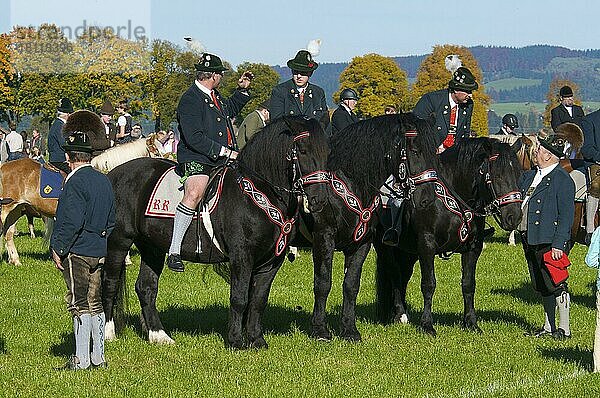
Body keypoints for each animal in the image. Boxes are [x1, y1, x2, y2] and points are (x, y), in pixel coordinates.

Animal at [102, 116, 328, 348]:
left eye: (327, 152)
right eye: (302, 150)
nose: (319, 200)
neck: (258, 193)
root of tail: (112, 175)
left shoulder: (272, 261)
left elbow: (258, 300)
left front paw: (256, 340)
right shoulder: (241, 256)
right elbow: (239, 298)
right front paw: (236, 341)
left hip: (152, 247)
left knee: (146, 287)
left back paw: (159, 335)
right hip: (118, 242)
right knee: (110, 283)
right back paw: (109, 333)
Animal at [304, 112, 440, 342]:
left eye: (435, 152)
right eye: (415, 150)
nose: (427, 198)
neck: (349, 182)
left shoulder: (362, 243)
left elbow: (351, 285)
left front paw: (349, 330)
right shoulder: (323, 238)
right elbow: (323, 283)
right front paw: (320, 329)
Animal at [372, 138, 524, 334]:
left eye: (518, 174)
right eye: (497, 175)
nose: (514, 217)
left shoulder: (472, 249)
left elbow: (468, 284)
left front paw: (471, 322)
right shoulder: (427, 246)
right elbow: (428, 284)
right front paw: (427, 325)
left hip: (408, 252)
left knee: (403, 275)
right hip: (386, 248)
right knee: (394, 273)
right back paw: (399, 313)